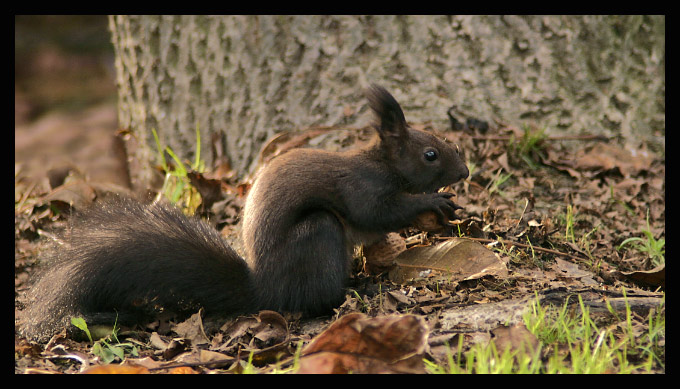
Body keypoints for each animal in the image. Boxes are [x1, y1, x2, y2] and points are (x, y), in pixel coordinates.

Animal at [19, 84, 468, 340]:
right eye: (430, 154)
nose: (464, 172)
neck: (382, 163)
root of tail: (265, 289)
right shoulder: (361, 187)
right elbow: (376, 213)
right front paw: (432, 201)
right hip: (319, 233)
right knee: (317, 296)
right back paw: (358, 290)